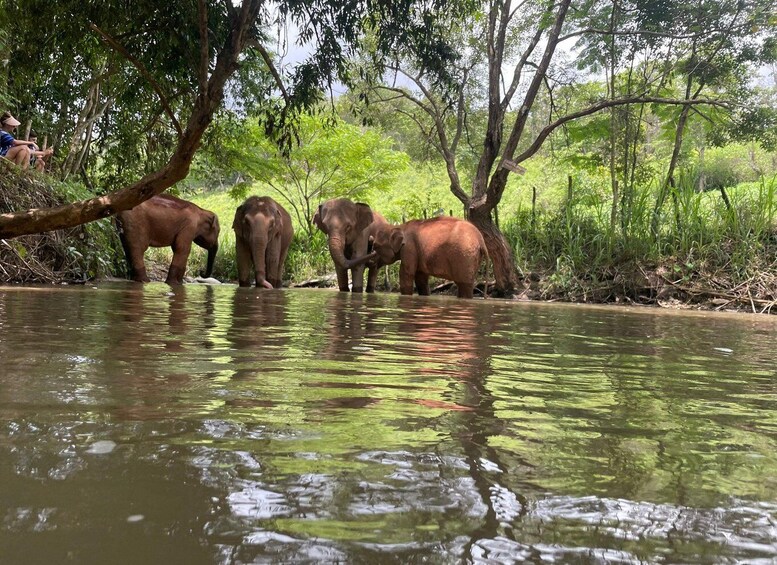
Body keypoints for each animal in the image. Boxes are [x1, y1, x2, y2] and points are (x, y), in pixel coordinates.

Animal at [352, 214, 484, 298]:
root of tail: (480, 238)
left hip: (465, 256)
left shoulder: (409, 248)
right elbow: (421, 278)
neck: (400, 226)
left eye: (376, 246)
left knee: (464, 284)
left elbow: (406, 273)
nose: (370, 260)